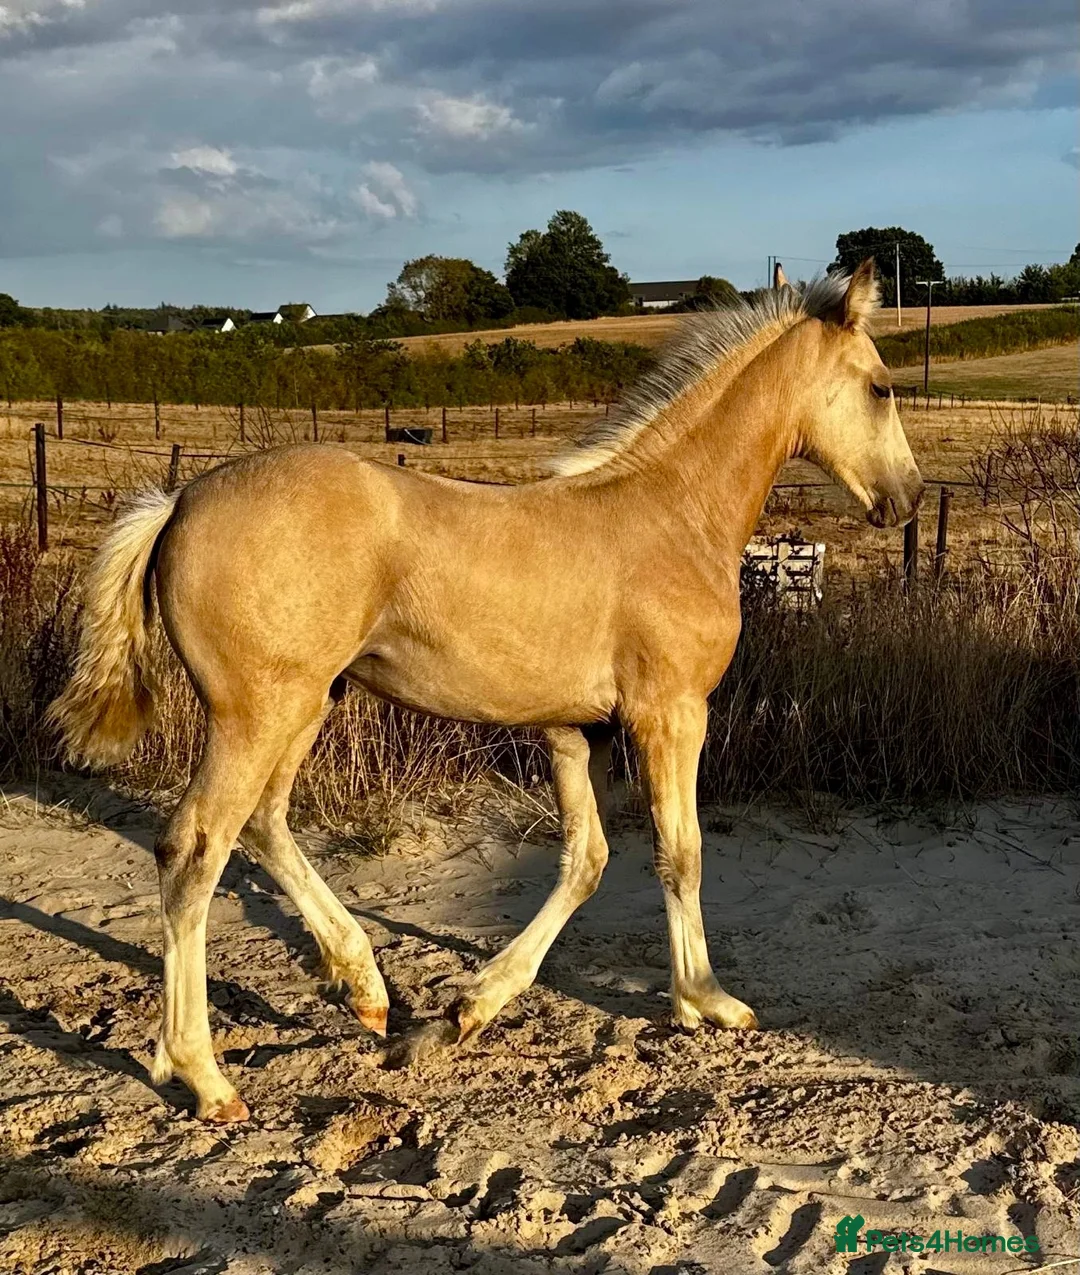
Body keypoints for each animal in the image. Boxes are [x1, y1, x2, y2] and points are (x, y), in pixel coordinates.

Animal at [49, 259, 923, 1122]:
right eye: (882, 387)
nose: (908, 499)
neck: (672, 514)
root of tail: (178, 502)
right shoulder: (671, 714)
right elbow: (681, 852)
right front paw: (706, 999)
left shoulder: (575, 730)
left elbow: (587, 861)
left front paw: (465, 1012)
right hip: (256, 712)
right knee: (195, 847)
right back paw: (204, 1073)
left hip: (307, 704)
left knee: (263, 824)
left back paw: (365, 990)